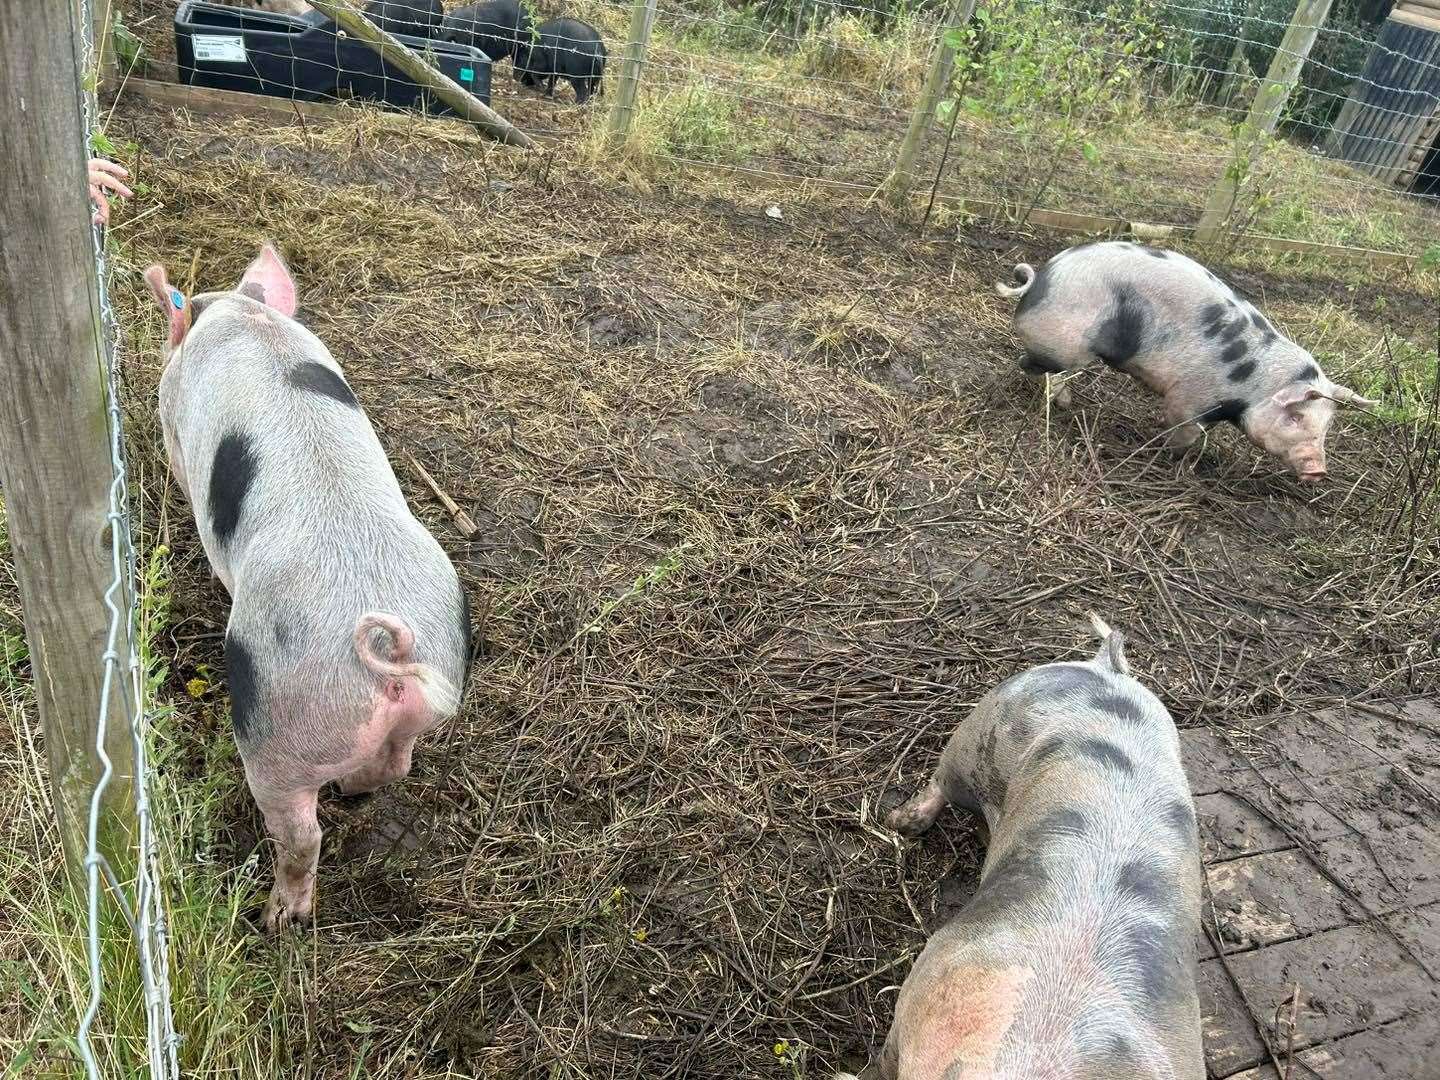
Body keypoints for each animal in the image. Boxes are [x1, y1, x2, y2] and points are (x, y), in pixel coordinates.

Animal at [140, 244, 469, 933]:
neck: (240, 316)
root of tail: (392, 662)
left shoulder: (172, 421)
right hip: (423, 693)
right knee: (393, 764)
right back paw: (356, 792)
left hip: (278, 727)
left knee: (301, 834)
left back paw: (276, 917)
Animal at [996, 243, 1376, 483]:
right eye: (1296, 416)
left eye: (1326, 427)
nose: (1318, 471)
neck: (1253, 384)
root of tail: (1042, 277)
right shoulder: (1189, 398)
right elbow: (1185, 430)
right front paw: (1170, 454)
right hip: (1066, 344)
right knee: (1037, 366)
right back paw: (1063, 404)